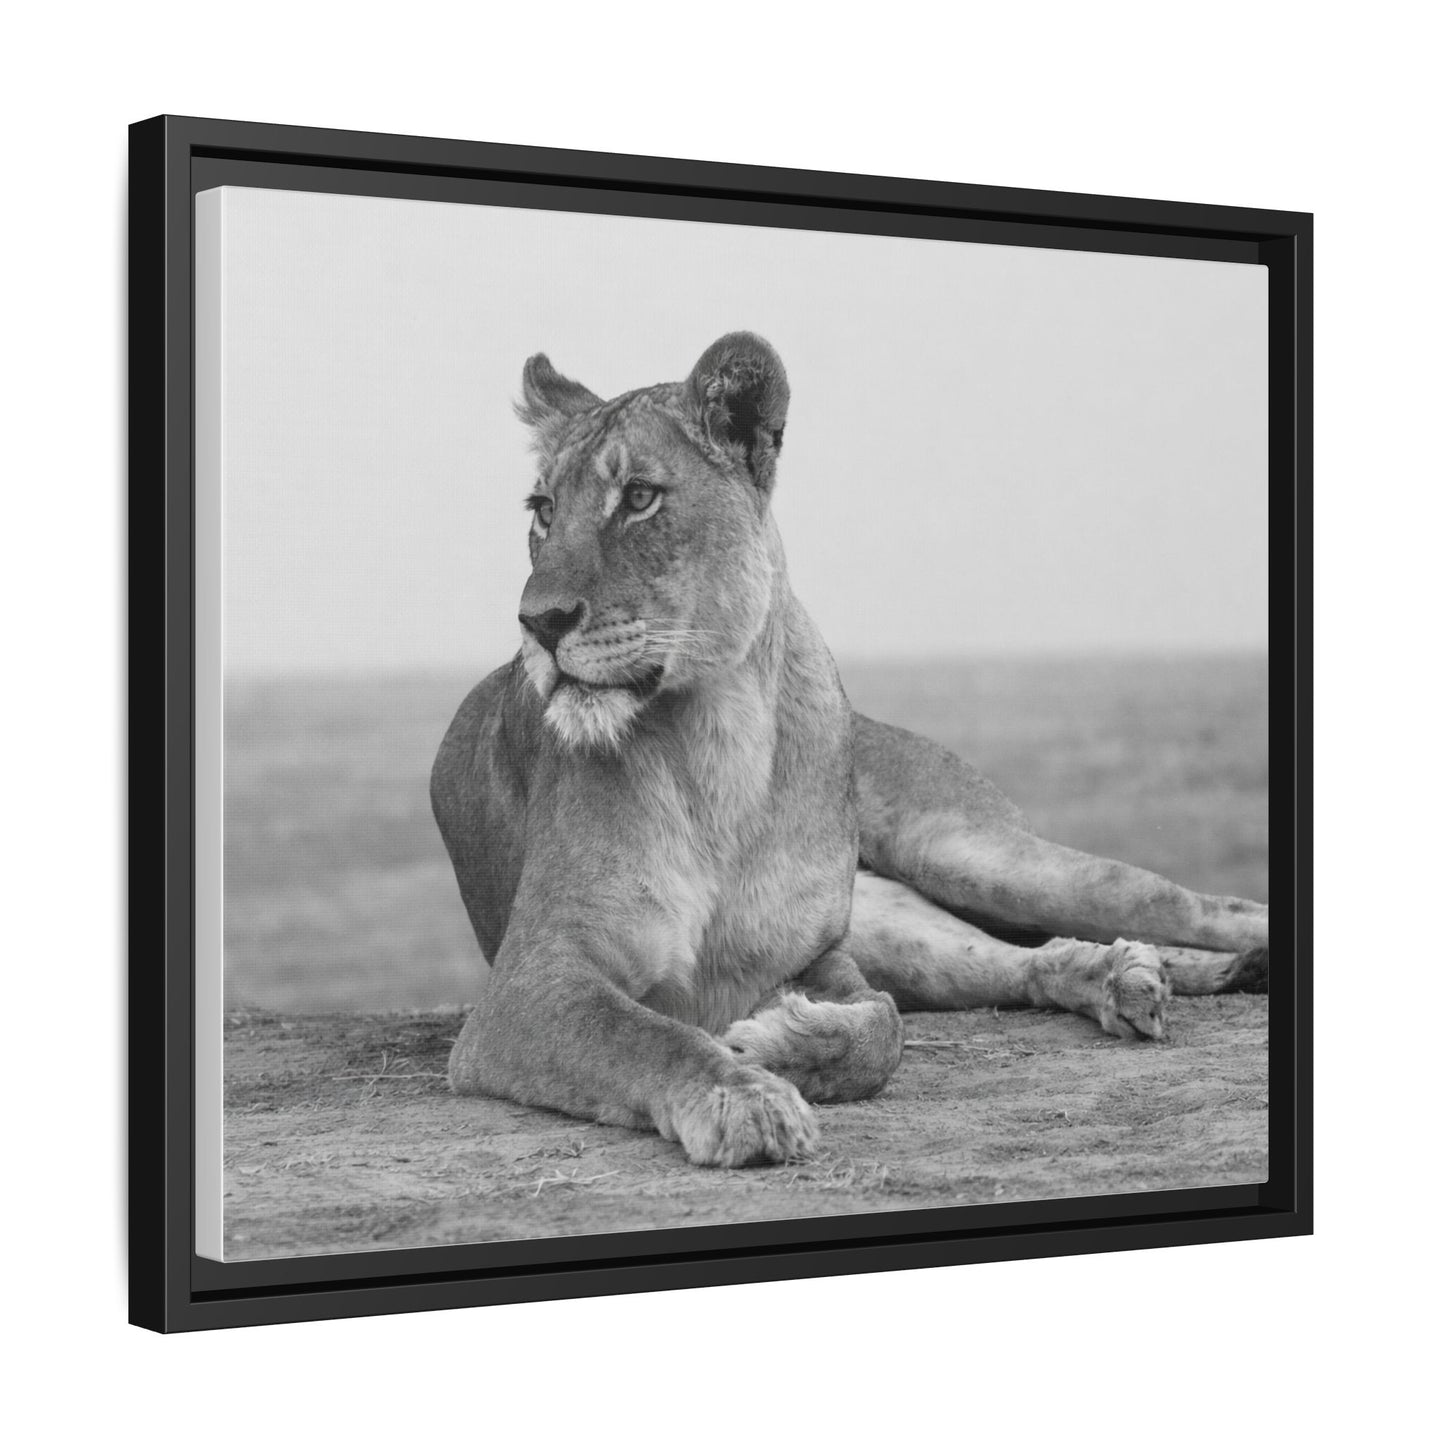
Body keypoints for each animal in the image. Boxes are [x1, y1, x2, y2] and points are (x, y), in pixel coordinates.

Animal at [431, 332, 1269, 1167]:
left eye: (639, 497)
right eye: (543, 511)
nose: (537, 622)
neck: (718, 741)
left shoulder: (815, 956)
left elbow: (882, 1031)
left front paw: (771, 1043)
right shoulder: (531, 981)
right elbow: (646, 1034)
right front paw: (743, 1094)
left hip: (963, 852)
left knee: (1182, 903)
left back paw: (1200, 957)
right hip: (899, 919)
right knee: (1019, 960)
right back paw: (1127, 974)